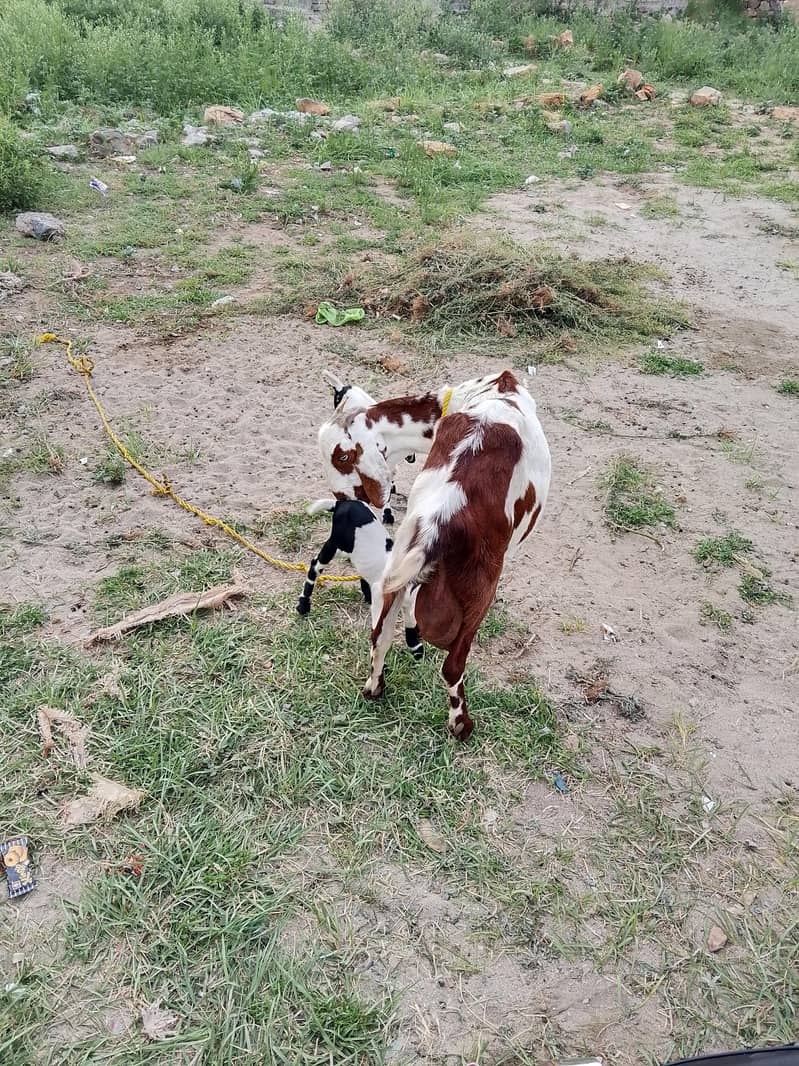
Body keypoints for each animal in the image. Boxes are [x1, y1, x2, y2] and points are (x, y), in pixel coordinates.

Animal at [296, 498, 424, 660]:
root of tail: (341, 503)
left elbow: (411, 622)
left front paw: (417, 649)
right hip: (336, 544)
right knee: (315, 564)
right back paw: (303, 605)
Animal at [344, 371, 551, 741]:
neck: (495, 394)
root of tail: (439, 521)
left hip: (393, 580)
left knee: (379, 637)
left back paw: (375, 688)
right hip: (478, 599)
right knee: (453, 667)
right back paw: (461, 725)